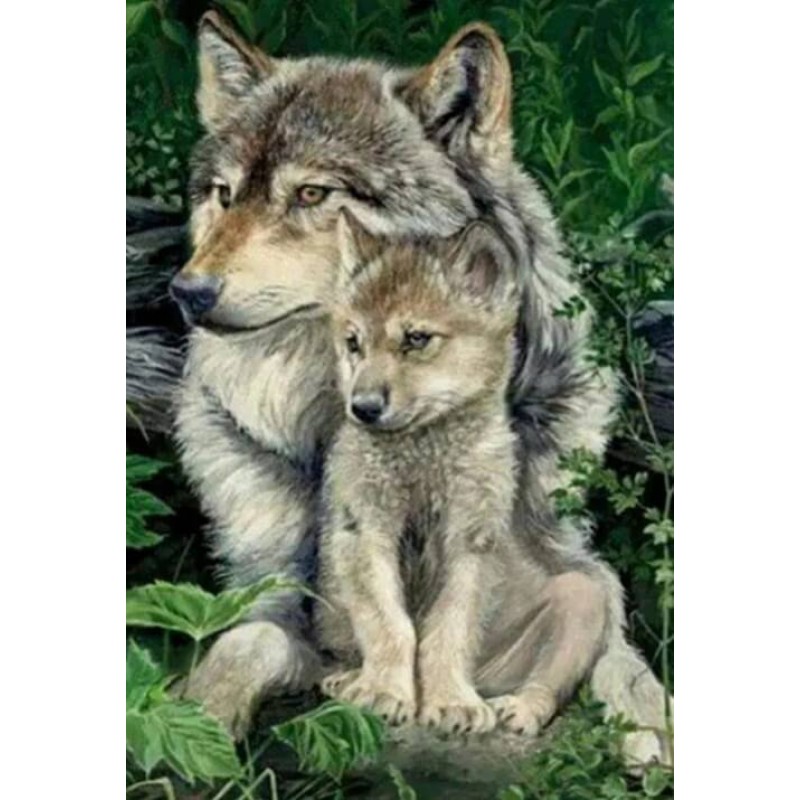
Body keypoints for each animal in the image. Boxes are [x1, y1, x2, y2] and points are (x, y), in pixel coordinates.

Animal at [317, 214, 520, 735]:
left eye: (416, 339)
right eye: (354, 343)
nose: (363, 408)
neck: (422, 459)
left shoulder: (472, 540)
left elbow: (448, 630)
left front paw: (452, 701)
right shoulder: (365, 531)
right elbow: (390, 625)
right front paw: (383, 693)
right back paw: (349, 680)